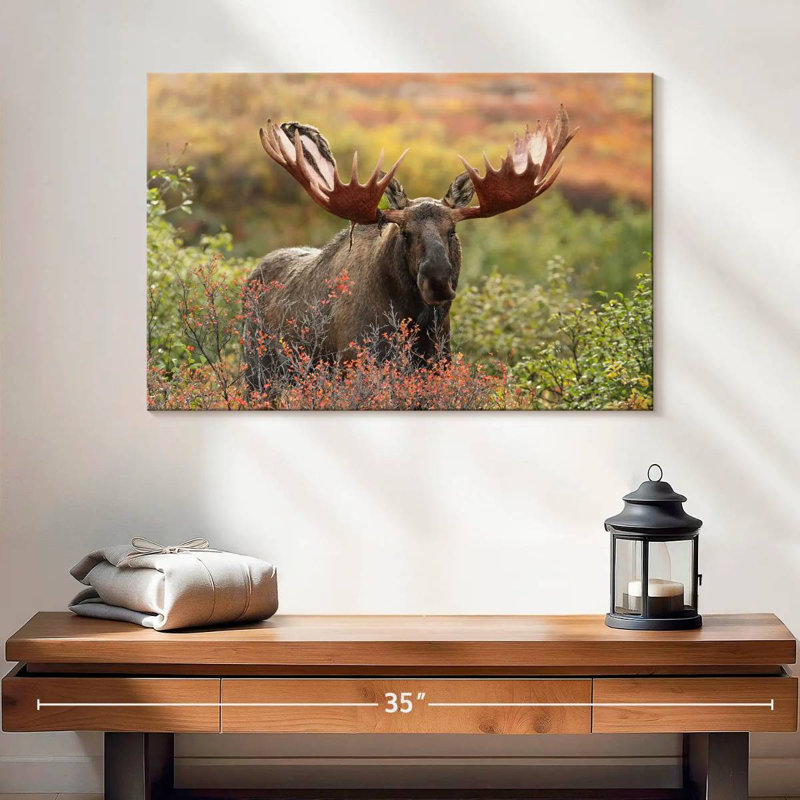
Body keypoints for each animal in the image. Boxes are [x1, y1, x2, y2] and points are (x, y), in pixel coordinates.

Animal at [243, 107, 577, 394]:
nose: (438, 281)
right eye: (406, 233)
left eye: (452, 231)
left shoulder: (439, 365)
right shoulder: (353, 364)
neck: (418, 324)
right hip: (257, 375)